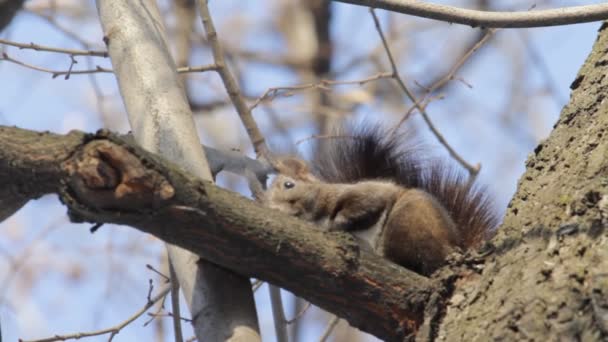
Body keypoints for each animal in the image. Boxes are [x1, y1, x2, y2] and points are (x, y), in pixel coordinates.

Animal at [264, 123, 498, 276]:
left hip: (408, 219)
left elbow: (365, 204)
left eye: (288, 184)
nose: (286, 209)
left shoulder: (363, 192)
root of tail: (457, 245)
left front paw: (337, 223)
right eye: (272, 208)